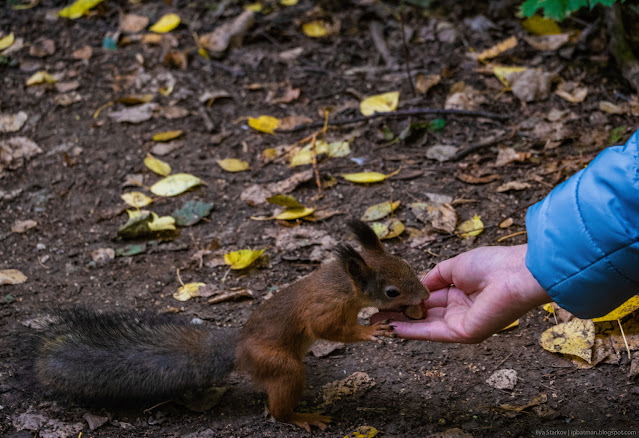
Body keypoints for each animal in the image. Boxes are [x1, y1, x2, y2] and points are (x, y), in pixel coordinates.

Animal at [35, 221, 430, 430]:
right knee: (280, 403)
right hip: (280, 365)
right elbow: (327, 329)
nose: (425, 294)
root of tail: (239, 350)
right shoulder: (326, 308)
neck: (342, 283)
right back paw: (300, 416)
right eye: (392, 291)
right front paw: (370, 330)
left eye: (407, 265)